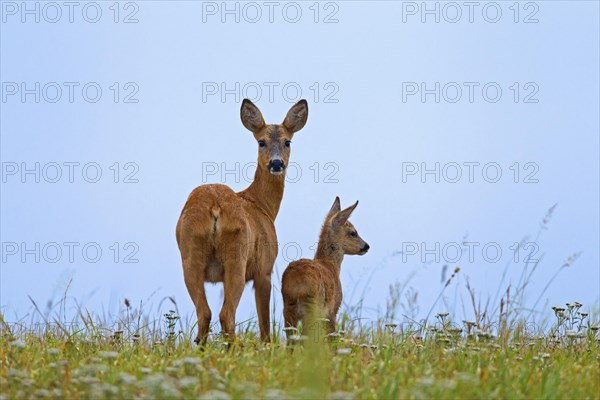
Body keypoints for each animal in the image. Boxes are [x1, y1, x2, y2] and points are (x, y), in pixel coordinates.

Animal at [177, 98, 310, 342]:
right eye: (261, 142)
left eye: (287, 142)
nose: (276, 164)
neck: (261, 205)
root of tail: (215, 207)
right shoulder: (265, 268)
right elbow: (265, 323)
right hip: (236, 257)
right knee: (225, 315)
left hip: (190, 255)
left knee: (204, 313)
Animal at [282, 197, 370, 334]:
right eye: (353, 233)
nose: (366, 246)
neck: (330, 264)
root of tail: (298, 282)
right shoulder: (333, 308)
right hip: (314, 306)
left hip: (288, 307)